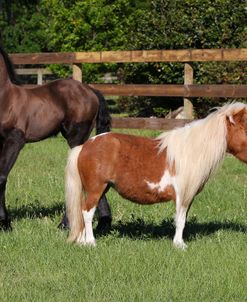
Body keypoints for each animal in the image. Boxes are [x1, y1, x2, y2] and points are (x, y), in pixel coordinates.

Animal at [0, 44, 112, 229]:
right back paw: (104, 223)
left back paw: (66, 224)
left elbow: (2, 177)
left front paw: (5, 224)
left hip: (76, 137)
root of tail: (91, 90)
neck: (5, 98)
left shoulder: (14, 141)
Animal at [65, 102, 247, 249]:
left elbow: (183, 219)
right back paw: (90, 242)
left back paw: (82, 241)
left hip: (102, 189)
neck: (190, 152)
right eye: (245, 128)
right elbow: (180, 221)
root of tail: (85, 146)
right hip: (96, 189)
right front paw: (179, 245)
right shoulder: (182, 195)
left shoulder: (188, 196)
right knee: (87, 212)